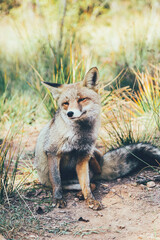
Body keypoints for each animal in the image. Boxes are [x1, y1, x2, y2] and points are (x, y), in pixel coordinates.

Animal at [34, 66, 160, 209]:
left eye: (81, 99)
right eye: (66, 103)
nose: (70, 113)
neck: (79, 136)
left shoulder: (83, 156)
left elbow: (86, 185)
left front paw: (90, 199)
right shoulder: (53, 152)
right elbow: (56, 181)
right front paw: (58, 198)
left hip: (92, 158)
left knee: (93, 181)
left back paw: (82, 193)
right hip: (62, 182)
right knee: (84, 182)